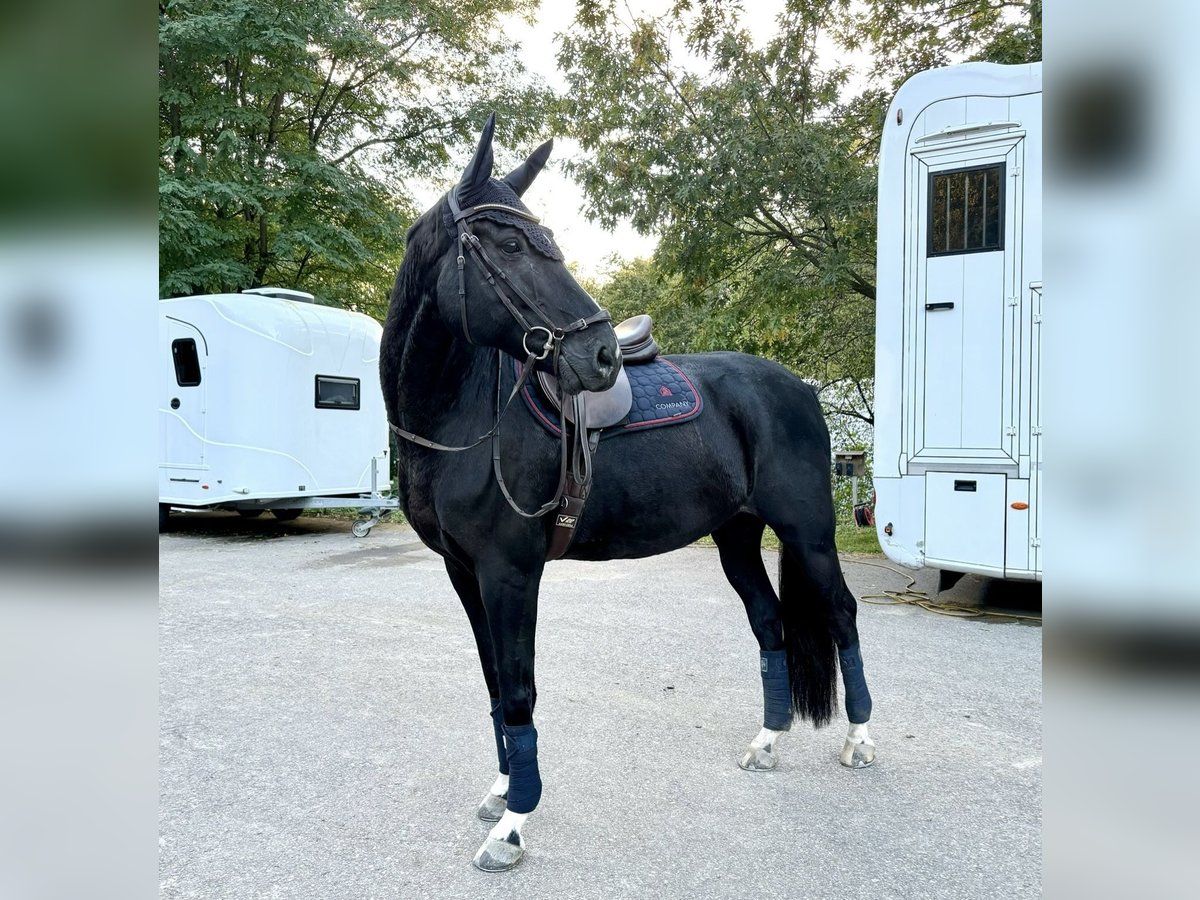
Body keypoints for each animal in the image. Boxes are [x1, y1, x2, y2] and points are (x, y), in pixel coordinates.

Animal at [379, 116, 878, 868]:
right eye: (509, 244)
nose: (603, 356)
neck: (461, 418)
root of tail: (796, 386)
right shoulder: (465, 573)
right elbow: (495, 684)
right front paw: (501, 790)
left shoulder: (510, 572)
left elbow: (519, 689)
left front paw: (514, 823)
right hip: (737, 537)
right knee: (769, 624)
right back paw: (767, 743)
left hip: (809, 533)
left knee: (842, 614)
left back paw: (860, 740)